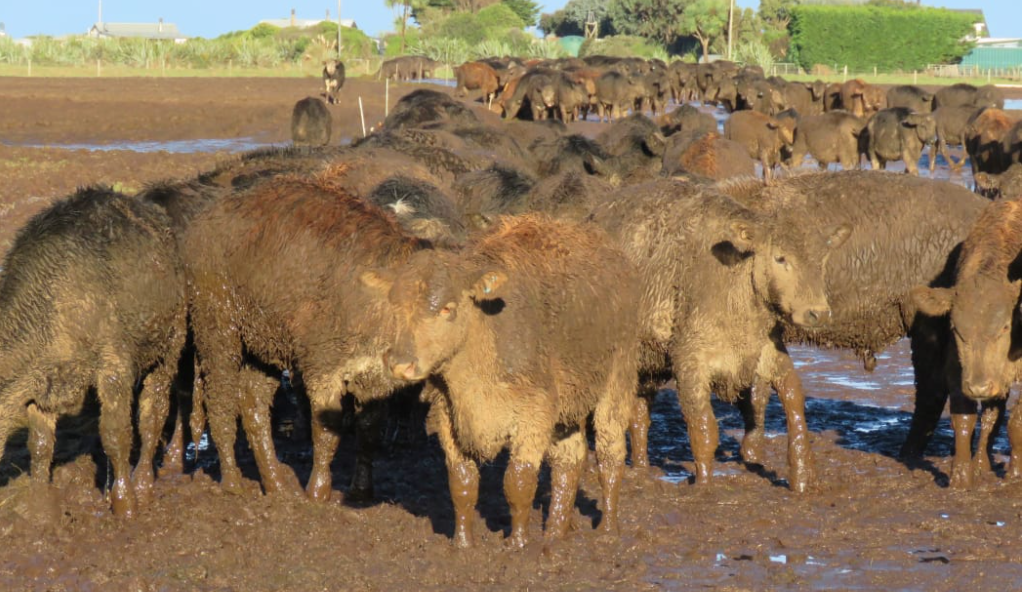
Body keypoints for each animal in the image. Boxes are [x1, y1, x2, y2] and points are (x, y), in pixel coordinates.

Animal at [0, 187, 187, 517]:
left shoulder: (114, 370)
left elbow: (115, 434)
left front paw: (124, 503)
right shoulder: (41, 386)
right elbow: (40, 445)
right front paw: (39, 506)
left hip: (168, 346)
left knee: (153, 415)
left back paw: (143, 484)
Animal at [362, 215, 640, 547]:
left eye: (447, 308)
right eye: (394, 306)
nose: (401, 363)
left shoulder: (535, 412)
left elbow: (518, 481)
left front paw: (517, 544)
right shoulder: (448, 414)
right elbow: (462, 482)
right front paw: (463, 544)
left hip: (618, 380)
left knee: (611, 455)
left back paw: (608, 530)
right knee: (569, 461)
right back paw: (555, 534)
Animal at [911, 196, 1022, 487]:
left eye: (1004, 327)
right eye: (956, 329)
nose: (979, 386)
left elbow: (1016, 423)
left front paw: (1015, 475)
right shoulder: (958, 369)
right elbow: (964, 419)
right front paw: (960, 477)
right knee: (993, 416)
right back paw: (981, 465)